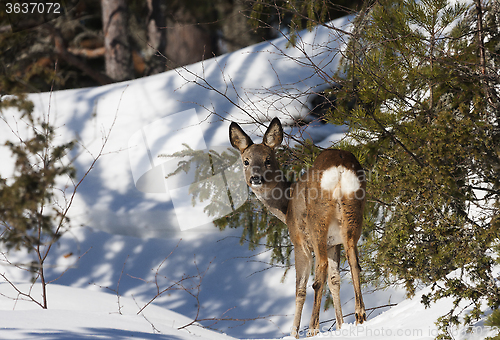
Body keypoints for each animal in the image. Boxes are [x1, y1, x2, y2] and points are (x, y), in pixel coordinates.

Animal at [229, 117, 366, 338]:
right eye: (246, 161)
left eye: (268, 159)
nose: (255, 178)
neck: (286, 209)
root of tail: (339, 167)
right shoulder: (333, 243)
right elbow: (335, 280)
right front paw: (340, 326)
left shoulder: (299, 242)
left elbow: (299, 290)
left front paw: (294, 333)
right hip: (353, 214)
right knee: (354, 261)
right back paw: (360, 315)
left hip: (317, 223)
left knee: (319, 270)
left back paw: (312, 328)